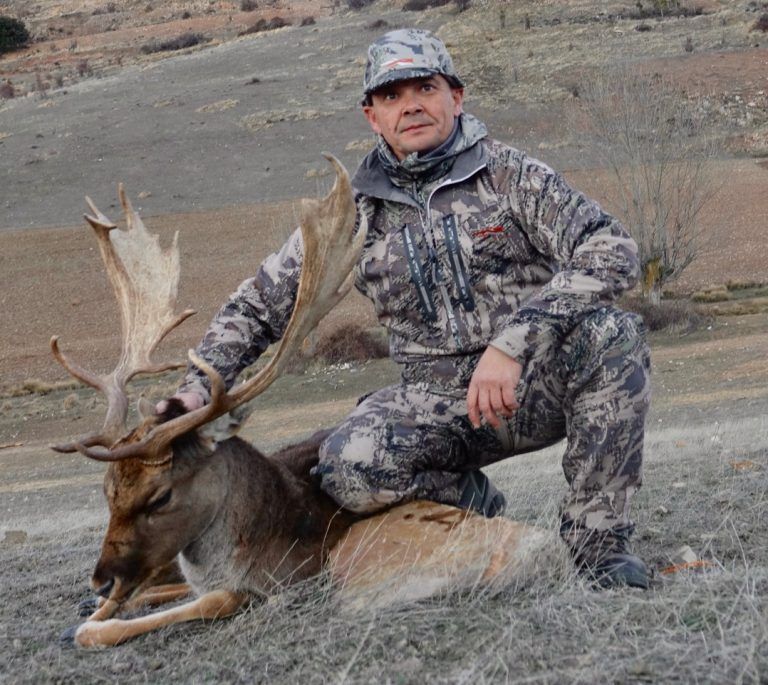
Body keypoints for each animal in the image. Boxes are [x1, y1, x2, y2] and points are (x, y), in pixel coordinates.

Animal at [51, 154, 565, 649]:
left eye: (161, 496)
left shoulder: (282, 576)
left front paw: (92, 626)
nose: (102, 579)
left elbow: (137, 619)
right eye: (107, 490)